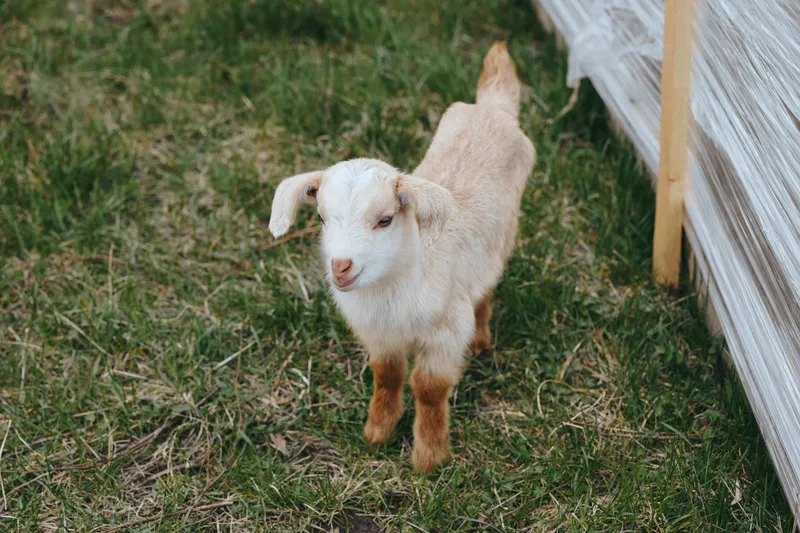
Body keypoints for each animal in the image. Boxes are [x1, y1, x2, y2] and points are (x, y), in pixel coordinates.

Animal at [268, 42, 535, 473]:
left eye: (385, 219)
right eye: (322, 218)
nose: (340, 267)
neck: (398, 282)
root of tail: (491, 108)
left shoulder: (445, 333)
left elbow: (428, 388)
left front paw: (429, 456)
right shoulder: (378, 333)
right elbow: (388, 374)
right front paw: (378, 430)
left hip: (506, 231)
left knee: (487, 284)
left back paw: (481, 339)